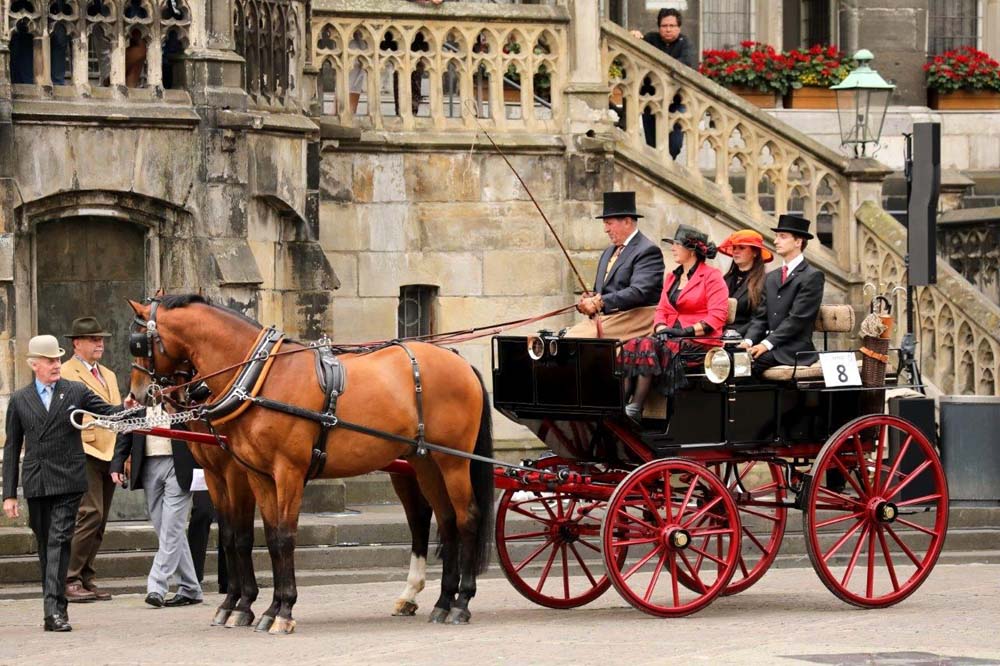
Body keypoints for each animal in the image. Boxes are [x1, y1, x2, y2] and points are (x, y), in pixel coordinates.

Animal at [127, 295, 494, 634]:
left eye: (139, 343)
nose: (138, 395)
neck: (259, 378)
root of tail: (459, 362)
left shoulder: (279, 472)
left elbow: (280, 536)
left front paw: (279, 609)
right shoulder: (253, 474)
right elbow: (261, 536)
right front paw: (258, 608)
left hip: (453, 461)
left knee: (466, 518)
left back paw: (461, 602)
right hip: (425, 462)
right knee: (443, 520)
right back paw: (441, 601)